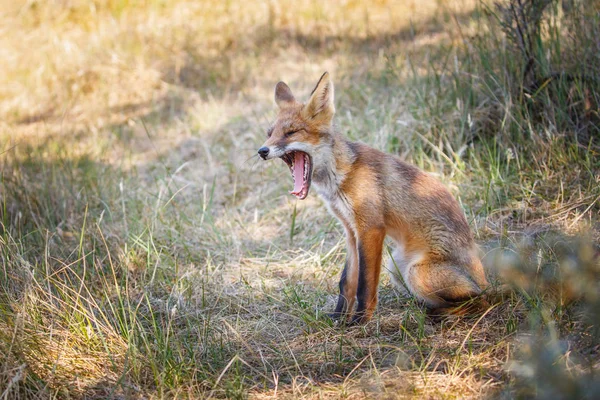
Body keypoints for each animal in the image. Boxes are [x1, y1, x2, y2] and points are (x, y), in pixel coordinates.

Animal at [258, 72, 488, 324]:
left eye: (291, 132)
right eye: (270, 134)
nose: (261, 151)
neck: (342, 174)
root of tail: (488, 281)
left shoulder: (371, 228)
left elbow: (365, 284)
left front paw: (359, 321)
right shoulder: (350, 231)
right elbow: (346, 282)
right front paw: (338, 317)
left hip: (416, 272)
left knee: (480, 301)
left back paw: (440, 314)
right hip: (397, 268)